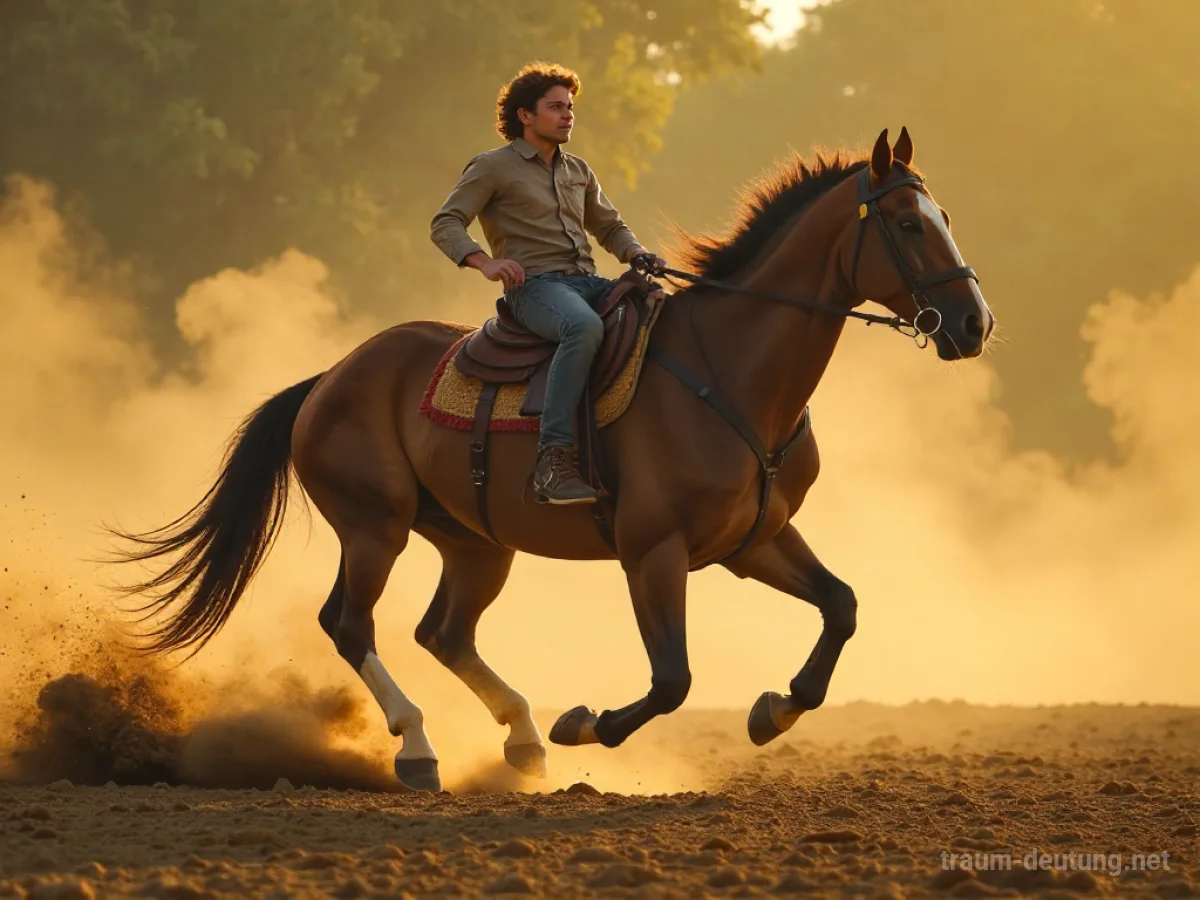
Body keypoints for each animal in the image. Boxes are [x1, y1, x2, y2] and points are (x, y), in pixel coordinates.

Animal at [109, 127, 994, 792]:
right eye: (908, 225)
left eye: (946, 213)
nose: (973, 323)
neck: (729, 370)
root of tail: (329, 378)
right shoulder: (652, 550)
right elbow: (672, 679)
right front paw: (587, 724)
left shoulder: (755, 541)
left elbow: (840, 606)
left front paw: (773, 710)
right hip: (372, 528)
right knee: (350, 623)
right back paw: (422, 748)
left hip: (475, 543)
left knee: (443, 633)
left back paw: (522, 740)